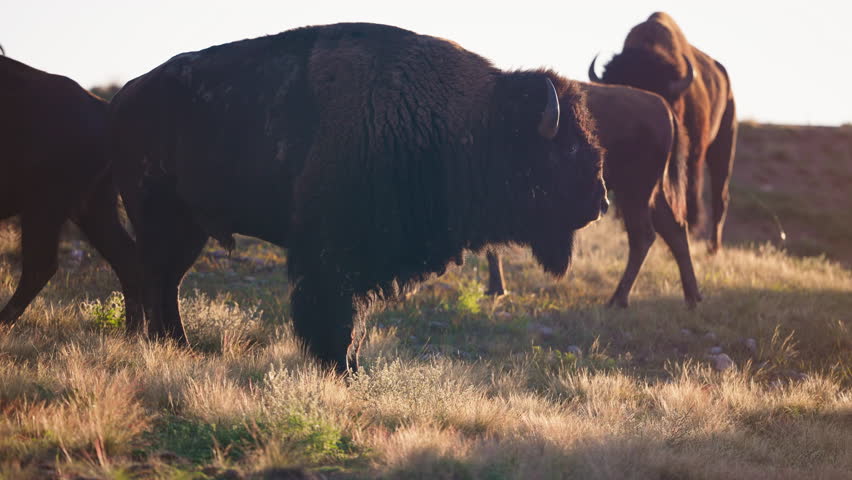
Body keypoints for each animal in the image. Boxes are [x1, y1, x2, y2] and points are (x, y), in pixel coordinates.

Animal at [0, 55, 142, 327]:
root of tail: (105, 111)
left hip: (45, 207)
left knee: (40, 265)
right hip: (91, 207)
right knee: (129, 261)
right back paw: (136, 330)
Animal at [109, 23, 608, 372]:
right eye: (565, 148)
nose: (600, 202)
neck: (468, 124)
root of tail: (125, 97)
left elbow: (353, 319)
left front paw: (351, 367)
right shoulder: (331, 257)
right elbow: (335, 315)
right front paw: (338, 368)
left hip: (187, 228)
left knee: (166, 281)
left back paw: (176, 346)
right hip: (158, 218)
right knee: (155, 277)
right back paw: (165, 345)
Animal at [487, 82, 701, 307]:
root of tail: (664, 108)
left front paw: (497, 290)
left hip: (634, 193)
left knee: (643, 235)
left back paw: (618, 300)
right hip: (649, 194)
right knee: (674, 230)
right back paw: (692, 298)